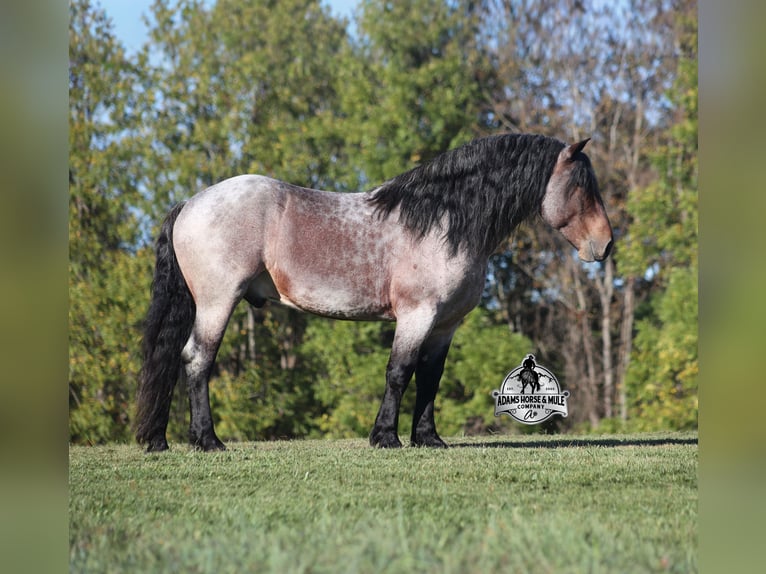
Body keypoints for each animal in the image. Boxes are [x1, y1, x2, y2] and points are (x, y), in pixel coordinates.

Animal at [135, 133, 613, 452]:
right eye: (582, 186)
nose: (606, 245)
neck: (443, 223)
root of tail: (190, 204)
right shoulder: (417, 315)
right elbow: (399, 373)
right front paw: (385, 437)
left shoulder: (445, 325)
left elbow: (430, 378)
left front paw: (428, 438)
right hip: (217, 302)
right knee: (197, 360)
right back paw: (208, 440)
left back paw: (165, 439)